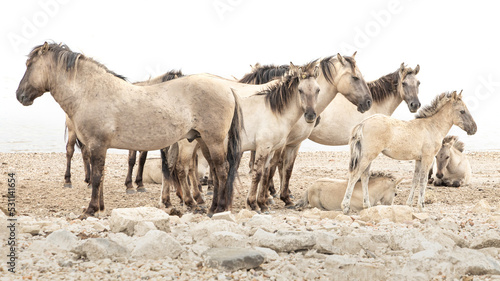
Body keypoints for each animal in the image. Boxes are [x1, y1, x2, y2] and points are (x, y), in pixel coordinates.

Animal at [18, 42, 245, 217]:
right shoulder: (98, 147)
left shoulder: (97, 145)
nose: (19, 95)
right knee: (215, 170)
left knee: (222, 171)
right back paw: (213, 207)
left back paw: (220, 209)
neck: (90, 92)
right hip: (203, 140)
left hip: (214, 140)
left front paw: (91, 210)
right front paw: (100, 207)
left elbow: (98, 177)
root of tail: (227, 89)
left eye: (29, 65)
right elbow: (101, 176)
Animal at [240, 53, 374, 206]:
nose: (368, 102)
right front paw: (270, 197)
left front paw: (279, 196)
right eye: (355, 77)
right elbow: (273, 166)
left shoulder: (290, 143)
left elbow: (284, 168)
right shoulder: (282, 143)